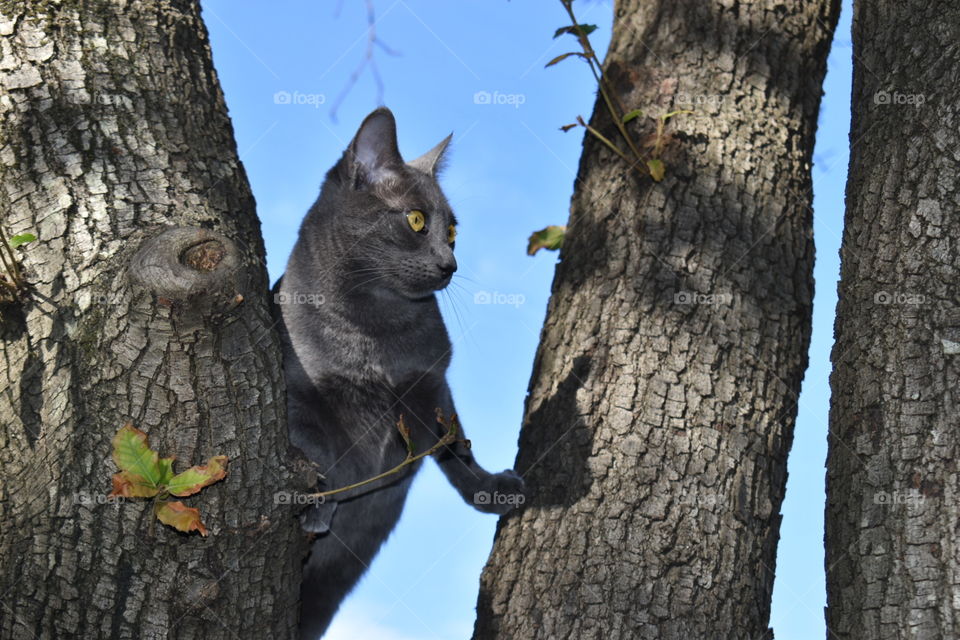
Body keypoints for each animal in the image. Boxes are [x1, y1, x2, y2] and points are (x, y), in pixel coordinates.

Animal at [276, 107, 524, 636]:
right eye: (416, 220)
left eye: (452, 232)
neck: (376, 333)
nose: (450, 263)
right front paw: (319, 502)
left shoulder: (431, 383)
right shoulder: (296, 390)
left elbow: (455, 446)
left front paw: (491, 489)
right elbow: (312, 446)